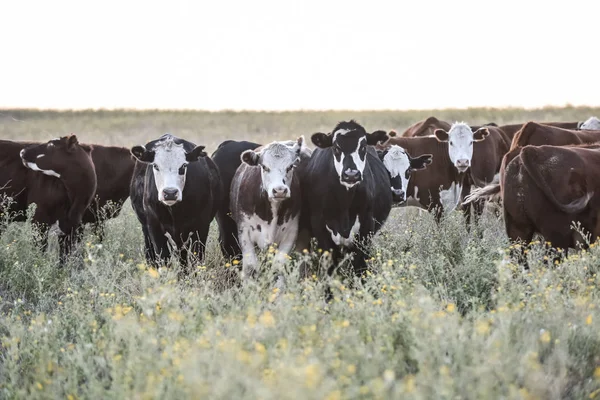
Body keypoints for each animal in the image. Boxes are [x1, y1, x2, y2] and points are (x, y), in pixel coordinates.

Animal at [129, 134, 220, 272]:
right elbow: (163, 259)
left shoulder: (201, 227)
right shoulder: (154, 228)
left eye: (183, 166)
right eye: (156, 166)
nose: (170, 192)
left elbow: (197, 260)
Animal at [227, 136, 308, 280]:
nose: (279, 190)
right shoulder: (245, 232)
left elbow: (278, 267)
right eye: (264, 166)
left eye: (290, 166)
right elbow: (250, 268)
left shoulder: (290, 234)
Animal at [300, 120, 394, 276]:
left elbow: (360, 267)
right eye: (336, 147)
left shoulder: (366, 229)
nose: (351, 174)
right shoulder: (320, 228)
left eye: (363, 146)